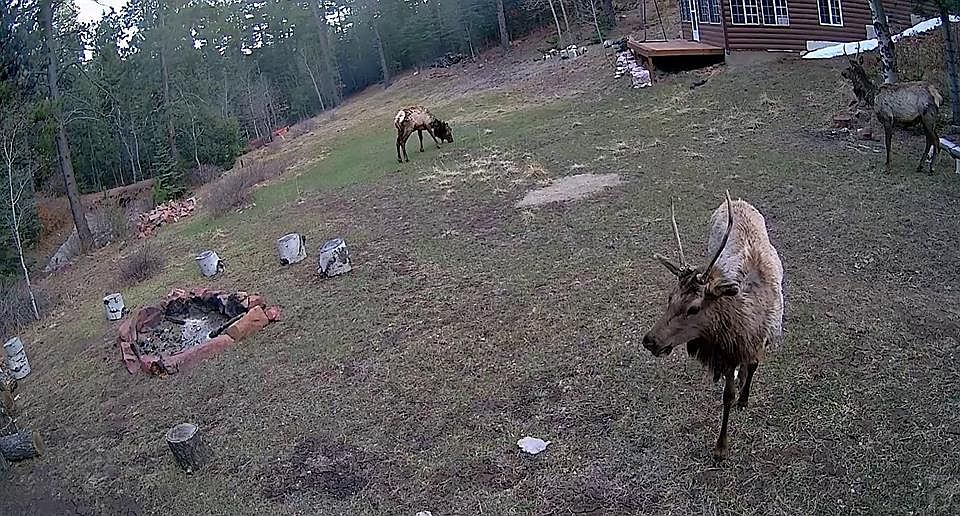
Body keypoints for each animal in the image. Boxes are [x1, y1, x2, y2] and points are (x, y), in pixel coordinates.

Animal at [643, 192, 784, 460]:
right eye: (669, 298)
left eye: (694, 308)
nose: (650, 341)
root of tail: (737, 201)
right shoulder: (727, 354)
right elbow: (727, 395)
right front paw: (721, 446)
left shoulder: (762, 341)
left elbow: (752, 367)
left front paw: (744, 399)